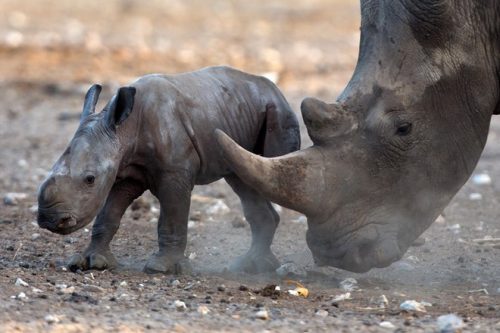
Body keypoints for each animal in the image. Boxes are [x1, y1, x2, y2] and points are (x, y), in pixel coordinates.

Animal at [38, 66, 300, 274]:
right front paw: (91, 262)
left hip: (279, 113)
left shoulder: (175, 174)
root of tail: (277, 91)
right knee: (244, 180)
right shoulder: (125, 172)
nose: (49, 220)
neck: (123, 131)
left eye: (90, 179)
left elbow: (172, 217)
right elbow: (108, 214)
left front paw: (161, 268)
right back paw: (250, 266)